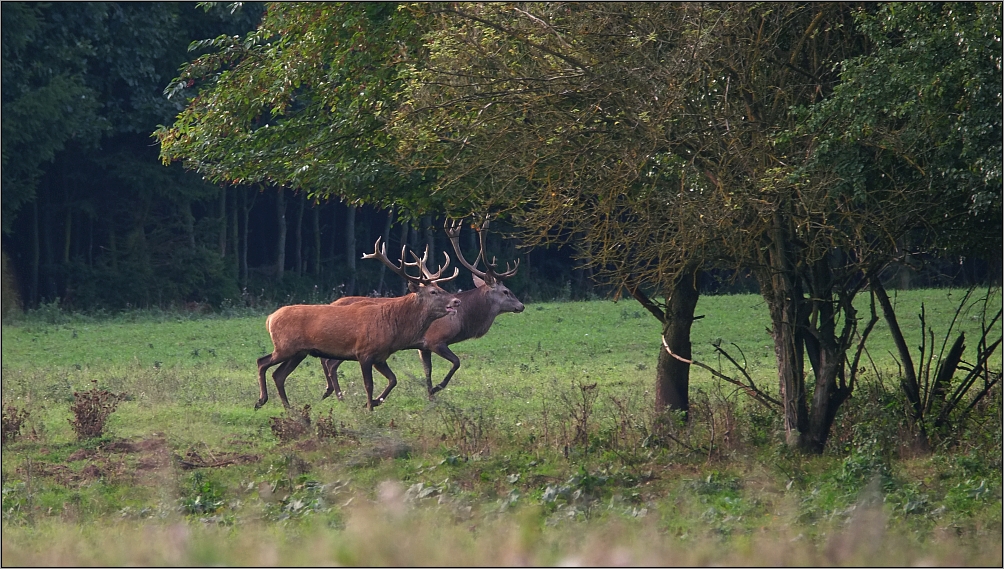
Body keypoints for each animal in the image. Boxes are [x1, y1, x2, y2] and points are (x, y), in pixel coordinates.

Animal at [255, 237, 459, 411]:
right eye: (433, 292)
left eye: (441, 288)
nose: (456, 301)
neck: (393, 328)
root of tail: (270, 318)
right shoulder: (364, 352)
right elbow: (368, 385)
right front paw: (369, 408)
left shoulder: (380, 356)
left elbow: (393, 380)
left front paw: (374, 402)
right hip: (285, 346)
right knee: (262, 362)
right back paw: (261, 400)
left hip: (299, 352)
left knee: (278, 375)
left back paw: (288, 408)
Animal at [319, 217, 526, 401]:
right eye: (506, 291)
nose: (521, 306)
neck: (462, 321)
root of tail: (332, 304)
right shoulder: (436, 340)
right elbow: (456, 362)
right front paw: (437, 389)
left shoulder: (422, 347)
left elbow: (428, 371)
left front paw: (431, 397)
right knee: (330, 363)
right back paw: (337, 395)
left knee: (328, 361)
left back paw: (330, 391)